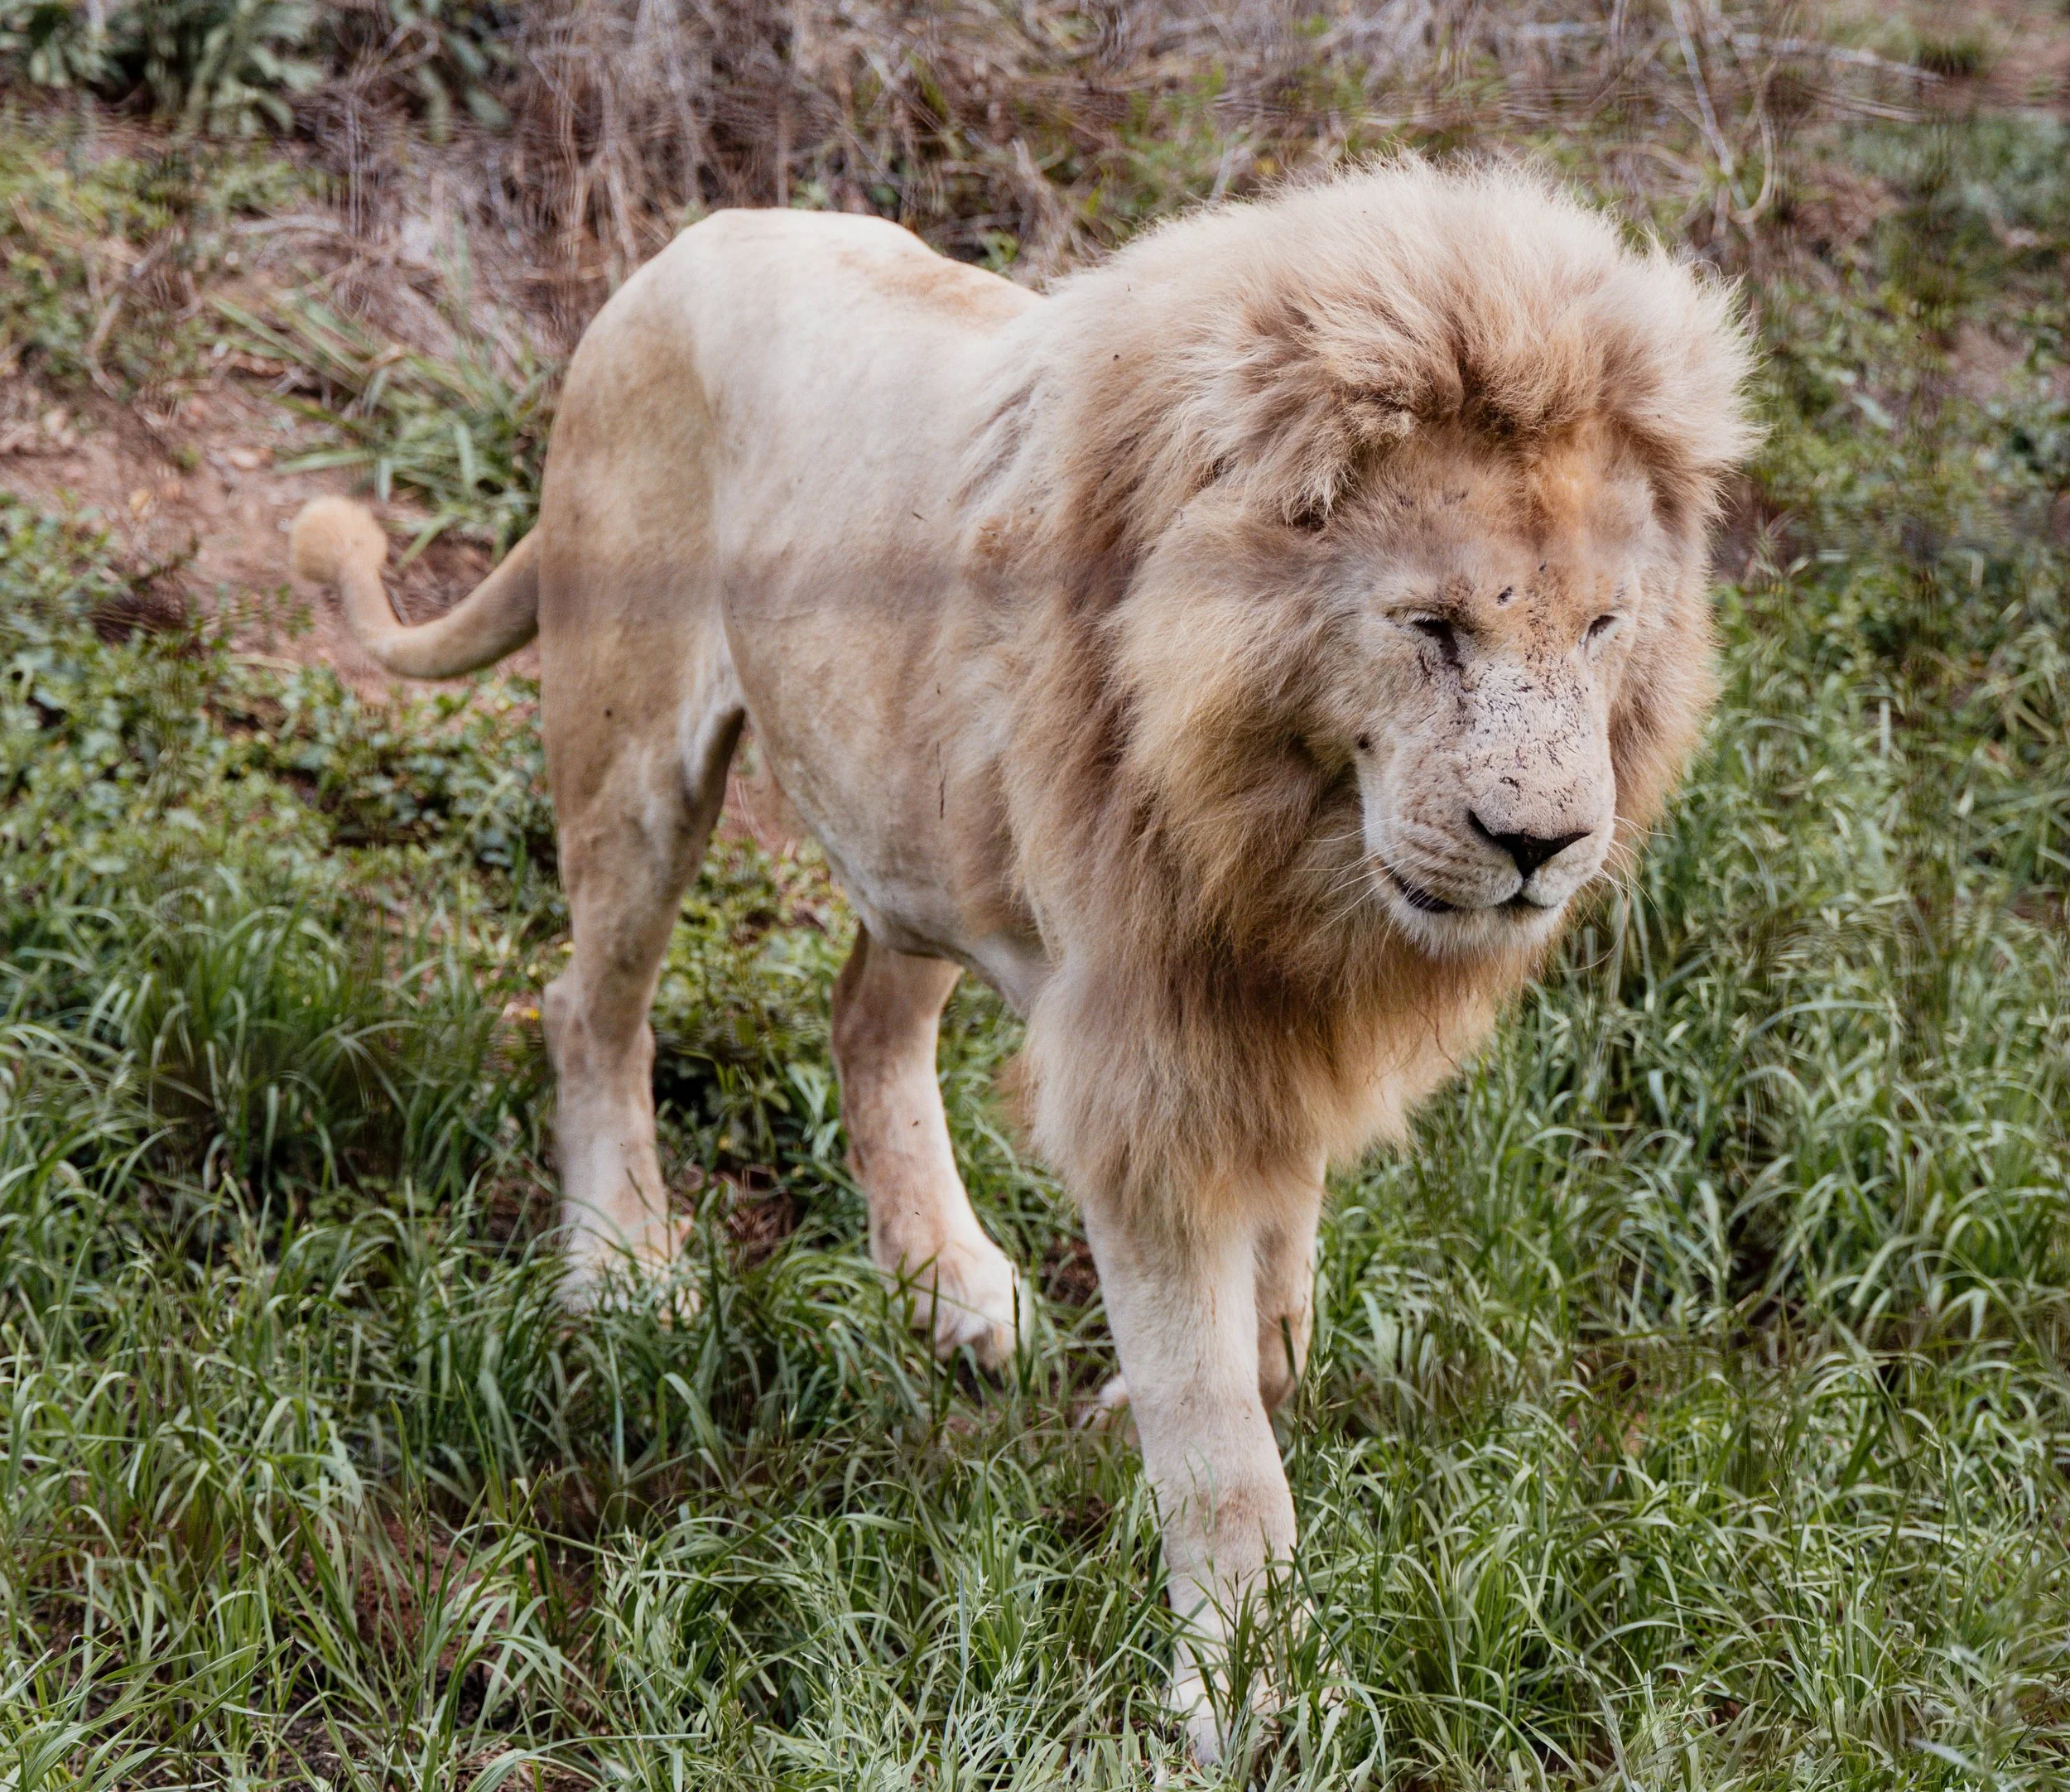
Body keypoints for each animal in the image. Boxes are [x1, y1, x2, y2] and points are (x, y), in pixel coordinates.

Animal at [289, 160, 1754, 1757]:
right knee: (586, 1005)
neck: (1288, 836)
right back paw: (622, 1270)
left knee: (864, 1016)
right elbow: (1215, 1424)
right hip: (631, 757)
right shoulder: (1153, 1057)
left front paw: (1186, 1404)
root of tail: (678, 253)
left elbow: (1273, 1298)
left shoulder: (1270, 1023)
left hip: (920, 820)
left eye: (1604, 626)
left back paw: (949, 1284)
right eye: (1429, 625)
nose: (1541, 843)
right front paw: (1255, 1691)